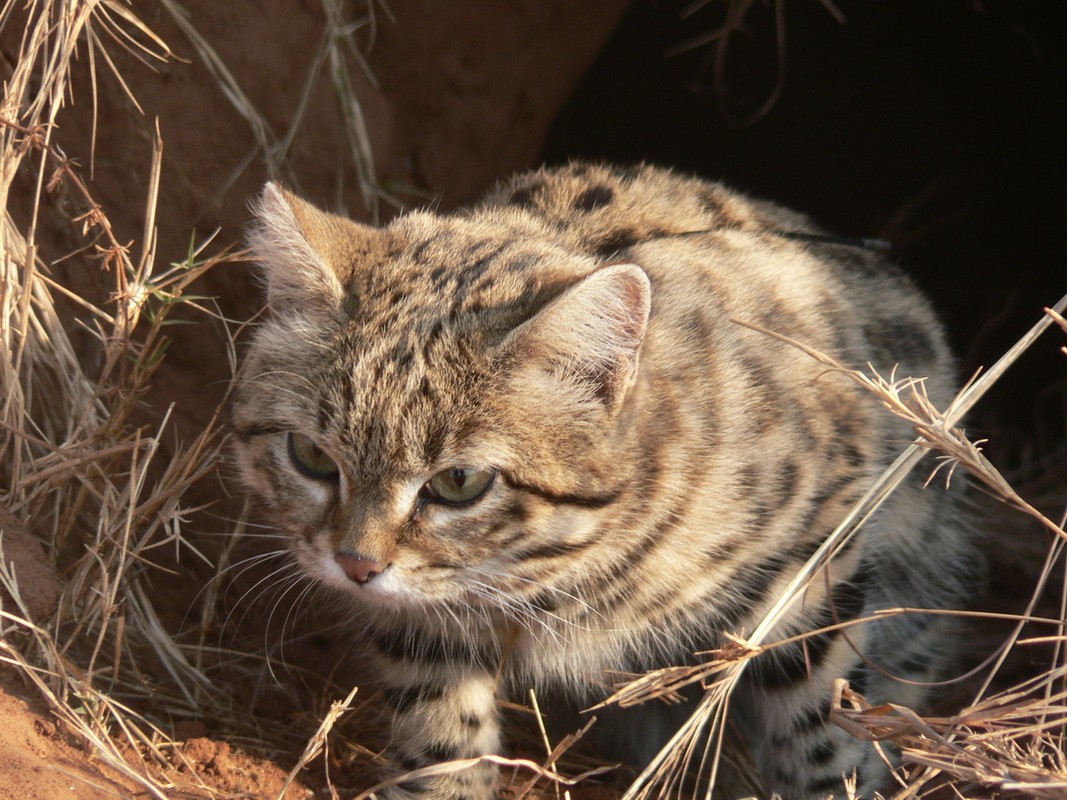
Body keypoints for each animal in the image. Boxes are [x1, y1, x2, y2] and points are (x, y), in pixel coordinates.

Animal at [233, 164, 977, 800]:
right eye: (311, 455)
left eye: (459, 482)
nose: (354, 565)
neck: (567, 567)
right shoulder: (427, 612)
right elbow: (440, 716)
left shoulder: (819, 541)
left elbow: (817, 716)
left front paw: (833, 780)